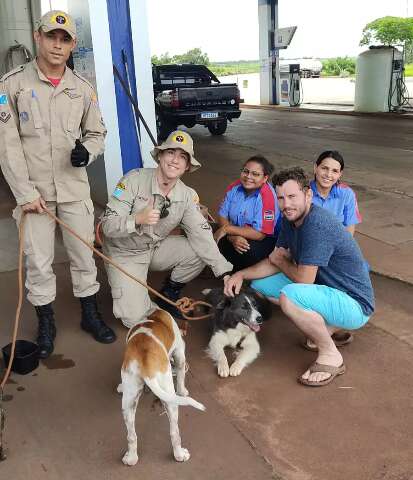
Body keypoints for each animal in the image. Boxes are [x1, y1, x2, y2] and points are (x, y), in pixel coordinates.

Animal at [117, 308, 204, 464]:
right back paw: (180, 455)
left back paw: (131, 458)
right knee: (174, 432)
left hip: (128, 402)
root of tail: (146, 364)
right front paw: (183, 391)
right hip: (170, 396)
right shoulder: (180, 352)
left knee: (131, 435)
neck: (152, 315)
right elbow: (181, 375)